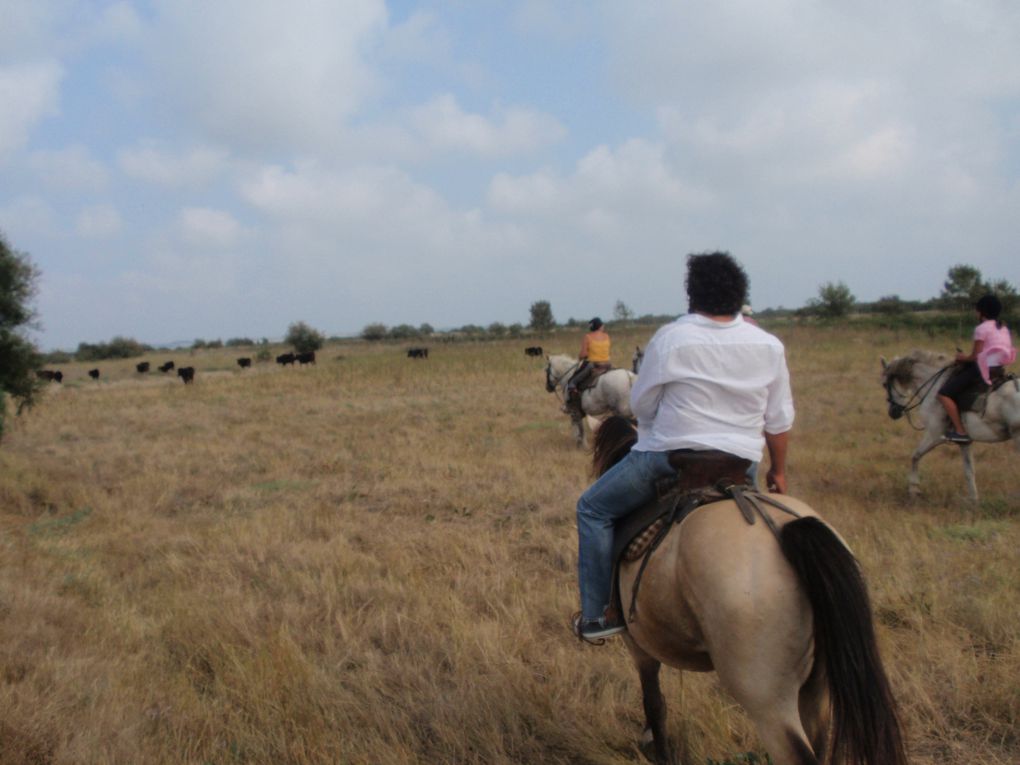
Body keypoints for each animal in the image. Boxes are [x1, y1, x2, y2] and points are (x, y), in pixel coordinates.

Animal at [587, 420, 905, 765]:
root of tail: (785, 531)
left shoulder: (638, 644)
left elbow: (654, 703)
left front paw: (656, 748)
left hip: (767, 699)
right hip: (817, 689)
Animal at [877, 348, 1020, 503]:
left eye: (884, 384)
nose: (893, 413)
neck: (934, 385)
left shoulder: (935, 434)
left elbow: (915, 456)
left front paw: (914, 490)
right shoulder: (964, 441)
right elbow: (969, 471)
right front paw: (973, 500)